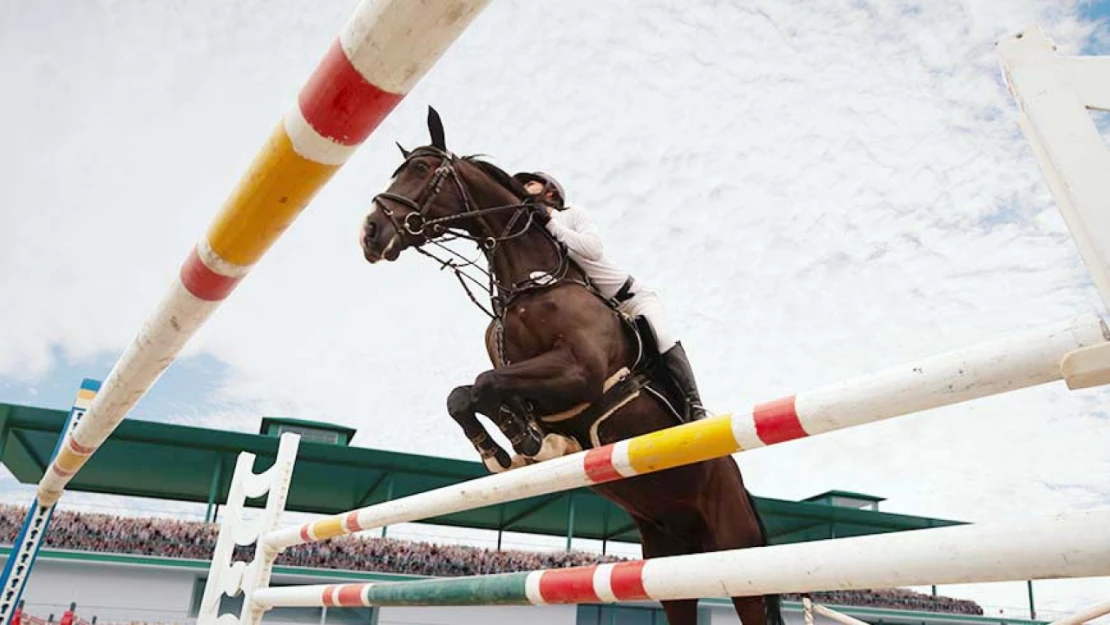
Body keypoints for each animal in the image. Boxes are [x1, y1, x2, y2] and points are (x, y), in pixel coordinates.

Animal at [359, 108, 785, 625]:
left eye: (421, 170)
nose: (370, 233)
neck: (530, 285)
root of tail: (740, 487)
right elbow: (466, 394)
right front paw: (509, 446)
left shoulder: (580, 371)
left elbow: (485, 384)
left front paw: (524, 440)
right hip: (669, 560)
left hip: (736, 557)